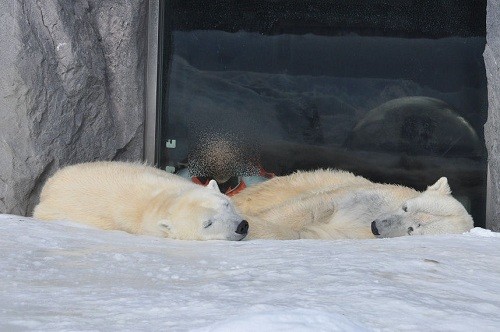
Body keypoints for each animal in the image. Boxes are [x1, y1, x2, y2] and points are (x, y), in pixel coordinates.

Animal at [232, 170, 474, 240]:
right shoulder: (370, 198)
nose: (375, 226)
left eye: (411, 229)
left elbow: (303, 233)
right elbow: (315, 207)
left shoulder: (350, 236)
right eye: (406, 207)